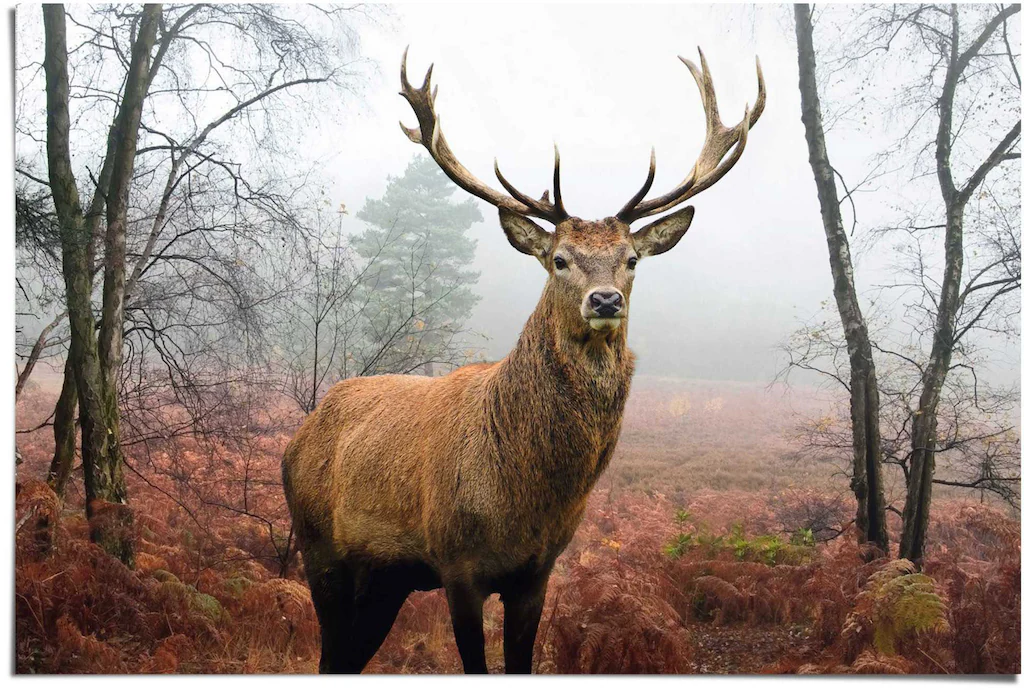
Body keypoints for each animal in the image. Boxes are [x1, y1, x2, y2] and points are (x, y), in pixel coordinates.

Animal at [284, 45, 765, 667]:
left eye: (632, 259)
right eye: (559, 259)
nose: (604, 300)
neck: (525, 497)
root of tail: (298, 437)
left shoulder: (537, 573)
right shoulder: (457, 565)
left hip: (384, 580)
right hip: (319, 550)